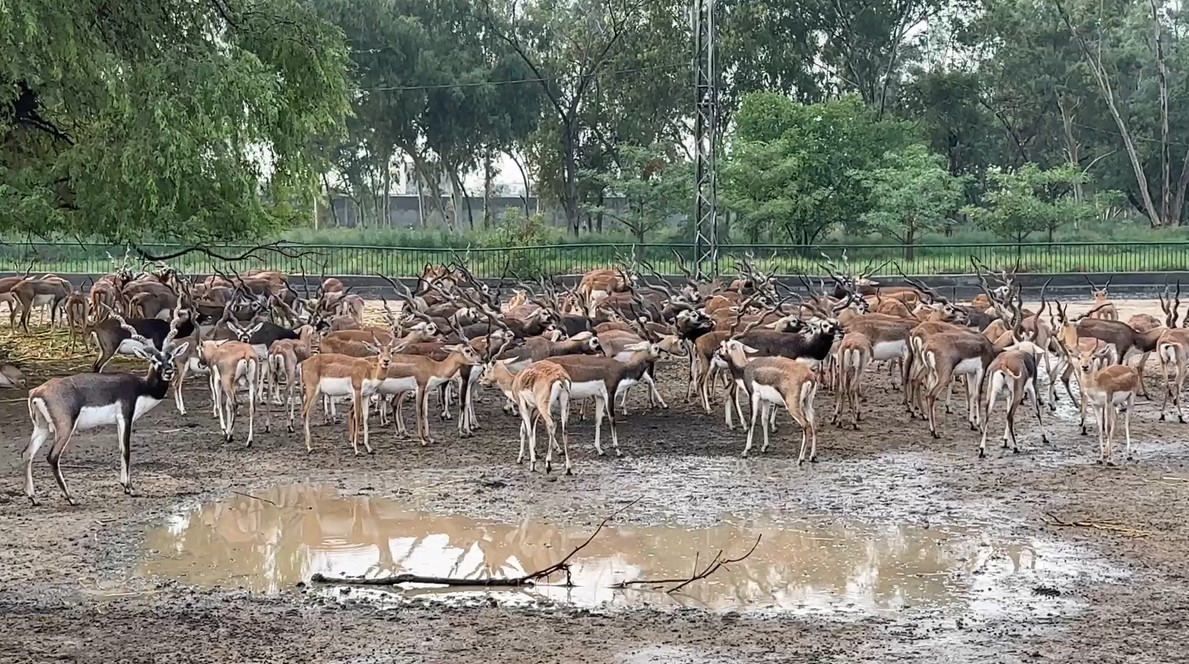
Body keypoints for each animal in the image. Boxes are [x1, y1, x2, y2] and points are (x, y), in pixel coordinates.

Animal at [22, 309, 187, 506]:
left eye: (171, 357)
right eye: (154, 360)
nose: (169, 372)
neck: (141, 387)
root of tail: (37, 391)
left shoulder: (118, 422)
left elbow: (121, 449)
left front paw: (125, 486)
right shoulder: (126, 417)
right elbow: (127, 451)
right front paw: (131, 488)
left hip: (42, 428)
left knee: (27, 453)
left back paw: (33, 497)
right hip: (64, 427)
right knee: (52, 457)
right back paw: (70, 497)